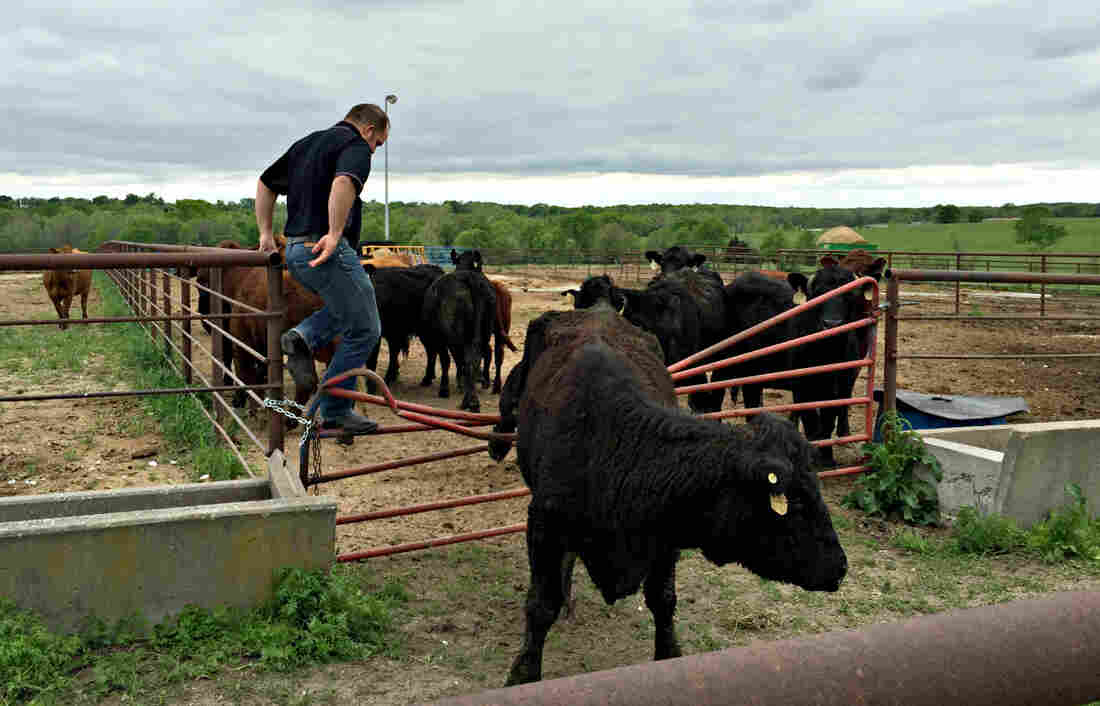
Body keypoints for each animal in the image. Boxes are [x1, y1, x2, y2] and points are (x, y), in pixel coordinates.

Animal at [492, 305, 849, 681]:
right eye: (796, 501)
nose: (840, 566)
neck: (614, 446)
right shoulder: (544, 526)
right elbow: (541, 605)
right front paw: (523, 673)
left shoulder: (666, 539)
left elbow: (663, 599)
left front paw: (669, 654)